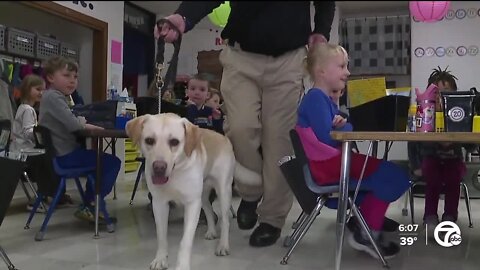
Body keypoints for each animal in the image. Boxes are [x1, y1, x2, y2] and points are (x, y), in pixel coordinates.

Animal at [125, 113, 260, 268]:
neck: (175, 173)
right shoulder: (159, 204)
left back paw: (223, 245)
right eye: (149, 140)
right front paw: (160, 259)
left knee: (225, 221)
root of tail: (224, 138)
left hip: (223, 192)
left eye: (174, 142)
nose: (159, 167)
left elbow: (185, 241)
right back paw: (212, 231)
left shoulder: (192, 205)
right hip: (202, 197)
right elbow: (161, 236)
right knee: (209, 212)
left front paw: (182, 265)